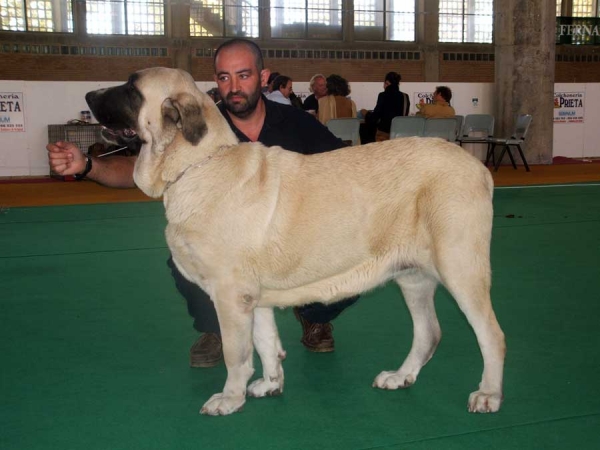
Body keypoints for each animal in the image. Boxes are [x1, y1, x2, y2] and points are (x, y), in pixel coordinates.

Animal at [85, 68, 506, 416]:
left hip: (459, 267)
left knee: (492, 335)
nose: (89, 95)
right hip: (413, 277)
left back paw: (488, 394)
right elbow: (265, 341)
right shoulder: (252, 298)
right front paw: (271, 384)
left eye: (131, 89)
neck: (196, 164)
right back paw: (400, 376)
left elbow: (237, 353)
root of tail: (478, 168)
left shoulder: (229, 294)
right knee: (428, 332)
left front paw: (229, 398)